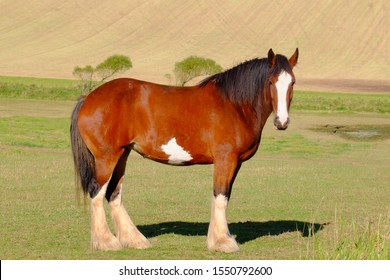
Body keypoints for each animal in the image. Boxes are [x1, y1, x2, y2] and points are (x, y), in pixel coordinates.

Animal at [71, 48, 298, 254]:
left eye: (292, 82)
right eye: (271, 82)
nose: (282, 122)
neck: (234, 105)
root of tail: (88, 97)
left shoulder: (236, 162)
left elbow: (225, 196)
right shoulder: (225, 159)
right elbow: (220, 196)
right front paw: (222, 242)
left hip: (122, 154)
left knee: (114, 193)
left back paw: (134, 240)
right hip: (107, 157)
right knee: (97, 192)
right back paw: (106, 242)